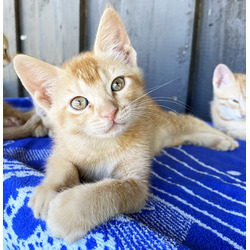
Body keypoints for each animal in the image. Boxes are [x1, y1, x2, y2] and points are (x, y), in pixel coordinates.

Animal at [13, 6, 238, 244]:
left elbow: (112, 190)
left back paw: (224, 138)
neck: (102, 144)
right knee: (184, 136)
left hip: (169, 122)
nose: (110, 112)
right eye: (78, 103)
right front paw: (48, 191)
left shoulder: (137, 184)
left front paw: (67, 211)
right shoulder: (62, 148)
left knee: (192, 123)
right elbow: (62, 165)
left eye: (118, 84)